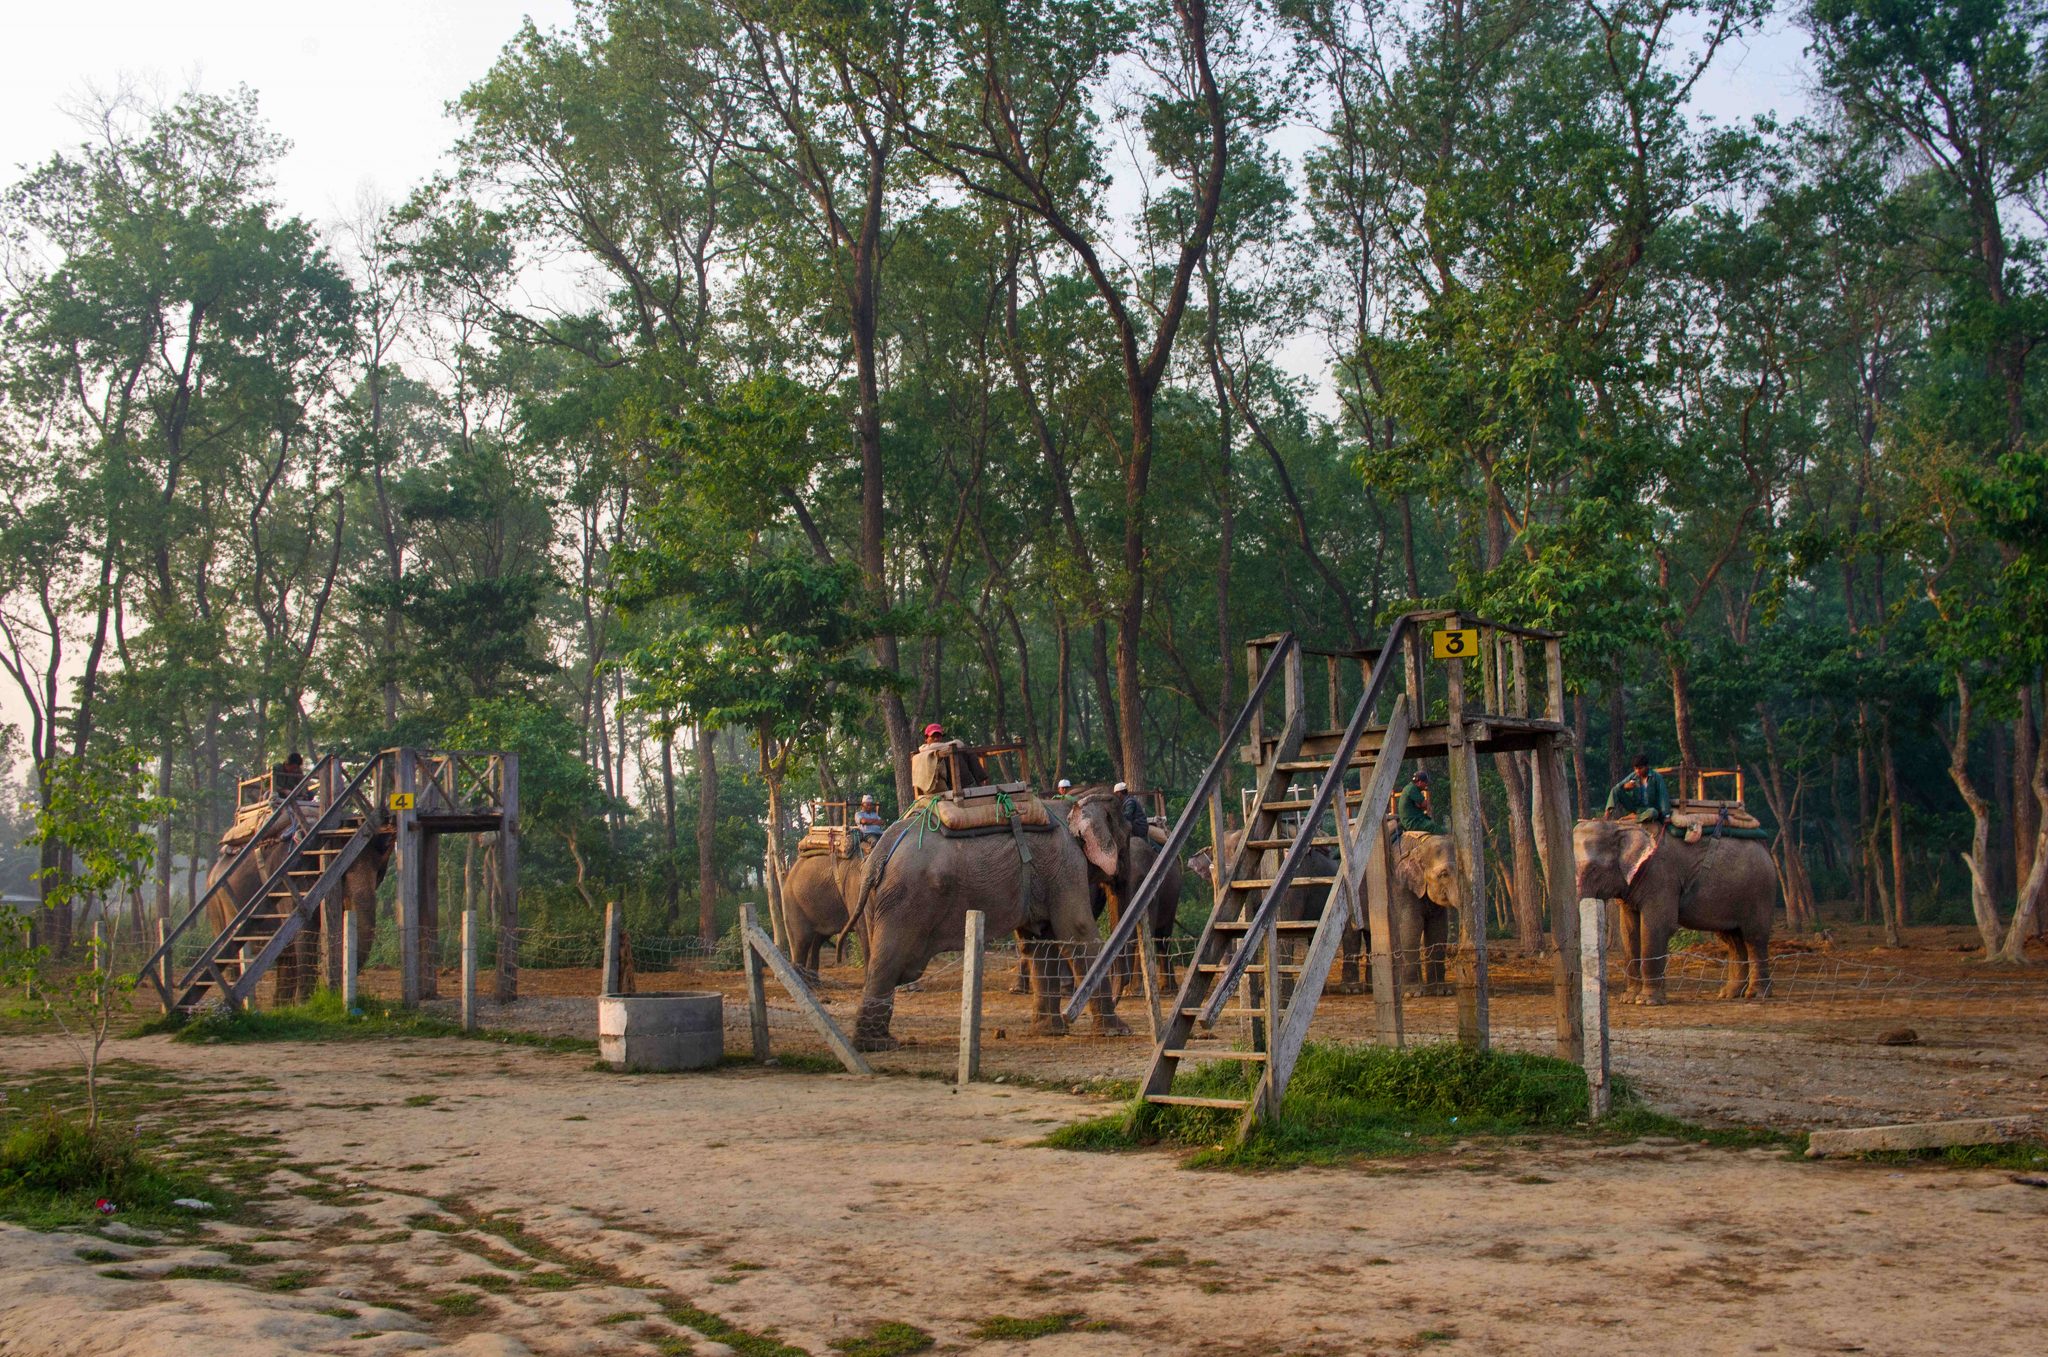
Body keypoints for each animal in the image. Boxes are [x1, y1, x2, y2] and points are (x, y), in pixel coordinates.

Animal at [204, 821, 395, 1005]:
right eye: (343, 872)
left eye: (379, 872)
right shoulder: (292, 884)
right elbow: (305, 932)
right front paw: (305, 1004)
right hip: (216, 906)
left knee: (286, 956)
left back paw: (280, 1006)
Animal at [844, 792, 1132, 1051]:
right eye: (1127, 841)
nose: (1118, 874)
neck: (1074, 803)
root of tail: (884, 846)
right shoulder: (1066, 866)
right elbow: (1078, 933)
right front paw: (1118, 1032)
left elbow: (1040, 943)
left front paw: (1049, 1031)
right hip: (906, 899)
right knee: (890, 958)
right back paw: (878, 1045)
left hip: (879, 900)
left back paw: (873, 1042)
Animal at [1572, 817, 1776, 1004]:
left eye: (1594, 869)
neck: (1620, 825)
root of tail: (1766, 849)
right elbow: (1629, 931)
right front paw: (1629, 999)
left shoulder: (1661, 876)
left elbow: (1656, 927)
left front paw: (1647, 1001)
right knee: (1732, 939)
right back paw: (1729, 994)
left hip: (1758, 892)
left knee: (1753, 937)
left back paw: (1756, 995)